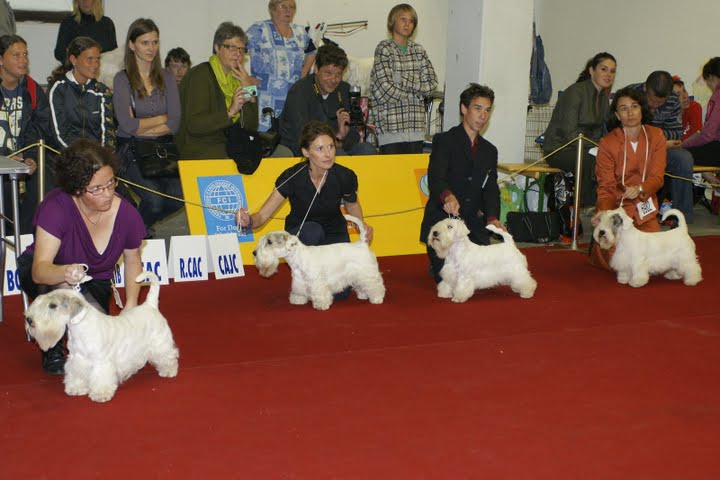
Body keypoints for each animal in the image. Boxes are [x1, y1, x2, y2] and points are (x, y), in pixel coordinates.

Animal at [24, 272, 179, 404]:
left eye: (53, 305)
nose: (29, 320)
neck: (80, 327)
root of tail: (150, 305)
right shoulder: (76, 359)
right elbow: (76, 374)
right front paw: (76, 388)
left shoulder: (101, 362)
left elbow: (101, 378)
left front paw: (101, 394)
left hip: (160, 343)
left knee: (168, 356)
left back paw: (169, 371)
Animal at [255, 215, 388, 312]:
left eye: (269, 242)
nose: (254, 253)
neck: (298, 257)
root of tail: (362, 243)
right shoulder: (299, 281)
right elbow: (299, 290)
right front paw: (298, 300)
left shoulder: (317, 281)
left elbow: (320, 293)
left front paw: (321, 305)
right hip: (358, 274)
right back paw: (363, 295)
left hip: (368, 273)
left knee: (376, 285)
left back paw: (377, 298)